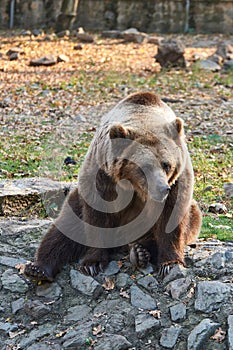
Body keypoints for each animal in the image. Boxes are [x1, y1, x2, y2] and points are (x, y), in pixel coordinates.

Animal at [24, 91, 201, 282]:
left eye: (166, 165)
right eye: (145, 167)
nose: (162, 189)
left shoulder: (178, 181)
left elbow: (172, 217)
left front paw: (169, 263)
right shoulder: (102, 174)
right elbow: (97, 216)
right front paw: (92, 263)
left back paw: (139, 252)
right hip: (76, 201)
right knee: (65, 228)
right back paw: (39, 268)